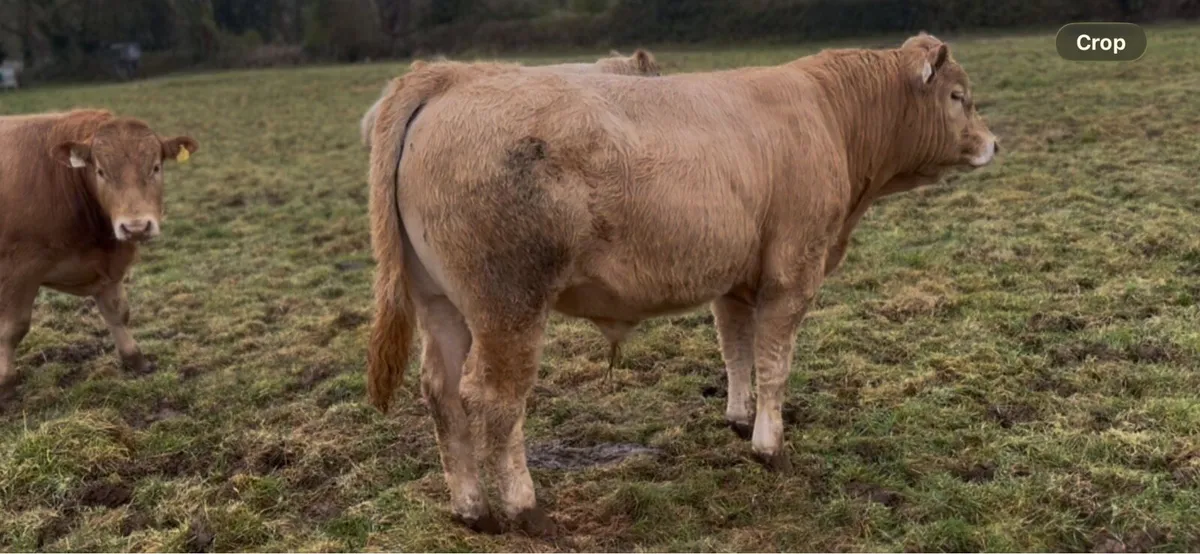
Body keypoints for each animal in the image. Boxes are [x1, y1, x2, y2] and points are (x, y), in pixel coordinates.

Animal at [0, 110, 198, 400]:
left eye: (155, 167)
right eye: (101, 172)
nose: (136, 227)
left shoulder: (107, 267)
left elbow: (117, 312)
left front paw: (135, 359)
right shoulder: (18, 271)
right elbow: (11, 328)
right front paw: (5, 383)